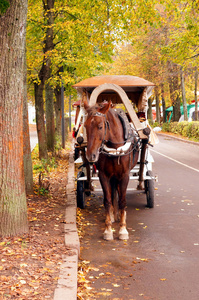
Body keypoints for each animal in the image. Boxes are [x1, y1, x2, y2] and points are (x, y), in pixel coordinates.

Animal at [83, 102, 140, 240]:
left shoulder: (124, 175)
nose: (90, 155)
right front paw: (108, 229)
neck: (114, 148)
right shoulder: (104, 175)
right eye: (85, 126)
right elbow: (107, 200)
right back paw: (114, 214)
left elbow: (123, 200)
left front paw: (123, 229)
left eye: (100, 126)